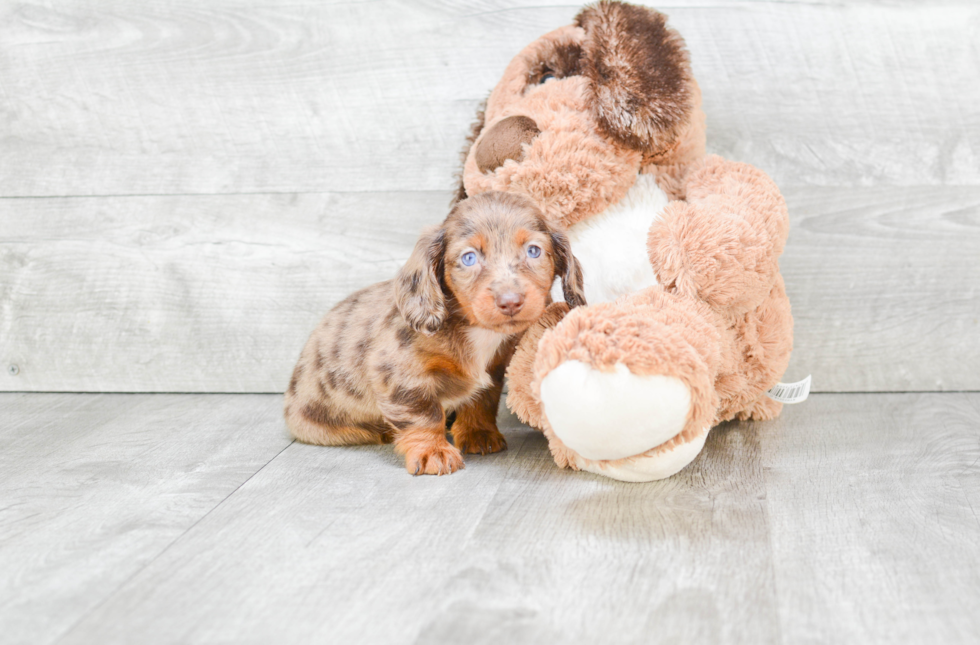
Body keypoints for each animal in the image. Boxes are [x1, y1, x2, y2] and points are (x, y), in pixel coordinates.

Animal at [280, 190, 584, 472]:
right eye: (469, 258)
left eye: (534, 251)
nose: (510, 301)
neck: (473, 329)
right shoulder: (401, 375)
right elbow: (424, 415)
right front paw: (432, 451)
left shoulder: (494, 369)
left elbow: (481, 400)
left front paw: (478, 432)